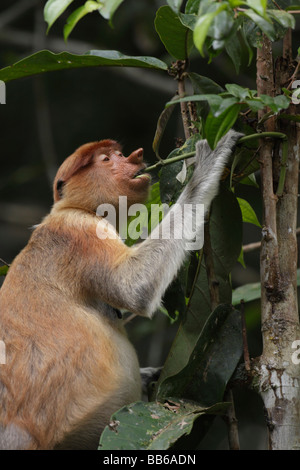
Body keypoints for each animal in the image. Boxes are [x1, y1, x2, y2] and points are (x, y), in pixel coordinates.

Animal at [0, 130, 241, 450]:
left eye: (118, 153)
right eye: (106, 159)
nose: (134, 157)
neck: (75, 207)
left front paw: (149, 375)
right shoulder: (81, 230)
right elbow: (134, 287)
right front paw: (205, 164)